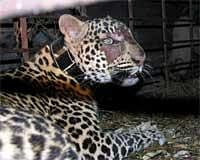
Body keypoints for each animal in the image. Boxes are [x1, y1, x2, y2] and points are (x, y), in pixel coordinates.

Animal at [0, 14, 166, 159]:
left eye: (130, 36)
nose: (142, 59)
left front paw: (145, 126)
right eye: (109, 41)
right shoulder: (95, 143)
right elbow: (127, 137)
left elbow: (120, 131)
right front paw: (154, 133)